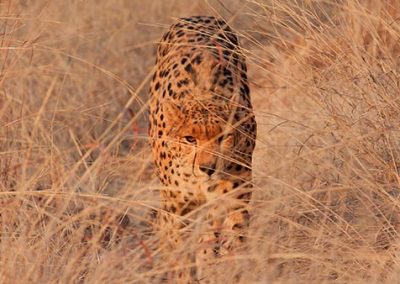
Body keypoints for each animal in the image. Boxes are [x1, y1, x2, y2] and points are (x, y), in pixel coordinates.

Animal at [148, 16, 258, 282]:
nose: (208, 168)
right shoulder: (177, 204)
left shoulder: (233, 191)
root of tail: (195, 16)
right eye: (189, 139)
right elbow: (180, 245)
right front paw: (185, 273)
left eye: (224, 137)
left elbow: (227, 231)